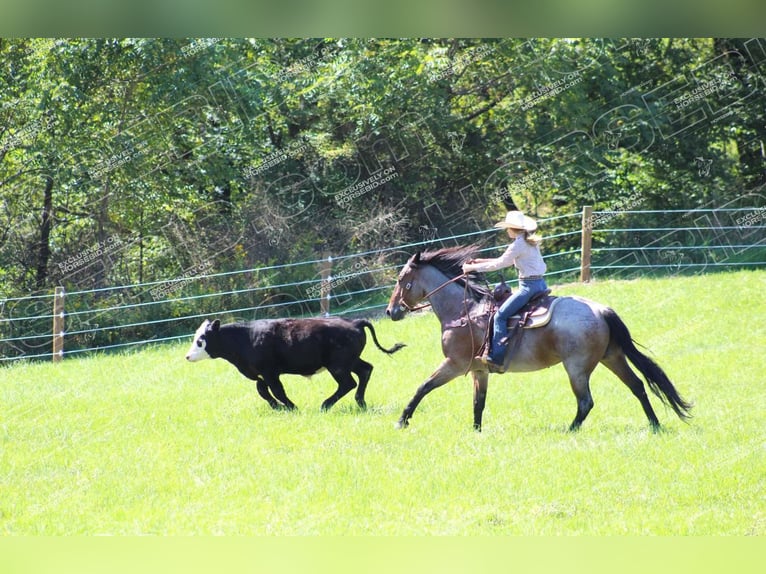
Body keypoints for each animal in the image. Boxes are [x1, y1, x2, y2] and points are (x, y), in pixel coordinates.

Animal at [388, 245, 692, 434]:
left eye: (402, 279)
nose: (391, 311)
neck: (464, 311)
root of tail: (601, 310)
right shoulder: (478, 370)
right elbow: (478, 403)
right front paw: (476, 432)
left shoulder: (454, 364)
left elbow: (423, 387)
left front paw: (402, 421)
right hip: (612, 357)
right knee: (638, 386)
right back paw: (655, 425)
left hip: (577, 368)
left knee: (586, 402)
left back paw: (569, 430)